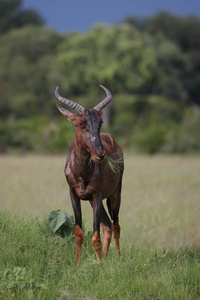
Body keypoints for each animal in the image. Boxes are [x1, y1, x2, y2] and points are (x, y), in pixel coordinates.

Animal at [54, 85, 123, 262]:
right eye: (81, 123)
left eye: (100, 123)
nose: (100, 153)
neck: (82, 173)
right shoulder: (74, 194)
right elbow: (79, 234)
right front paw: (78, 264)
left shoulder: (96, 195)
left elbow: (95, 236)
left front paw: (98, 264)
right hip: (93, 201)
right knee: (107, 226)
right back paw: (105, 257)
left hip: (115, 193)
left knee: (116, 225)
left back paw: (117, 257)